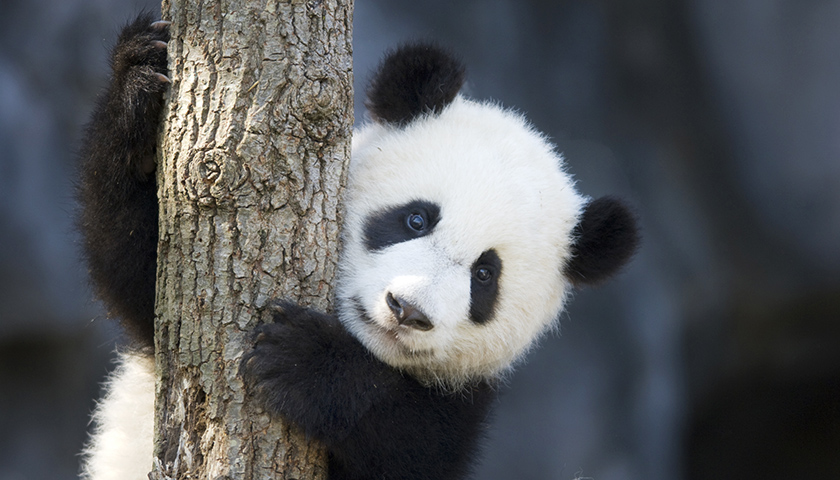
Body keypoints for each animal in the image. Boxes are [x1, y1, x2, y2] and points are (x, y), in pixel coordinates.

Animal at [79, 13, 636, 480]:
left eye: (484, 276)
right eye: (415, 219)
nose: (408, 310)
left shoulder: (462, 405)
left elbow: (409, 441)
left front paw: (305, 361)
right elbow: (142, 270)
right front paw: (142, 72)